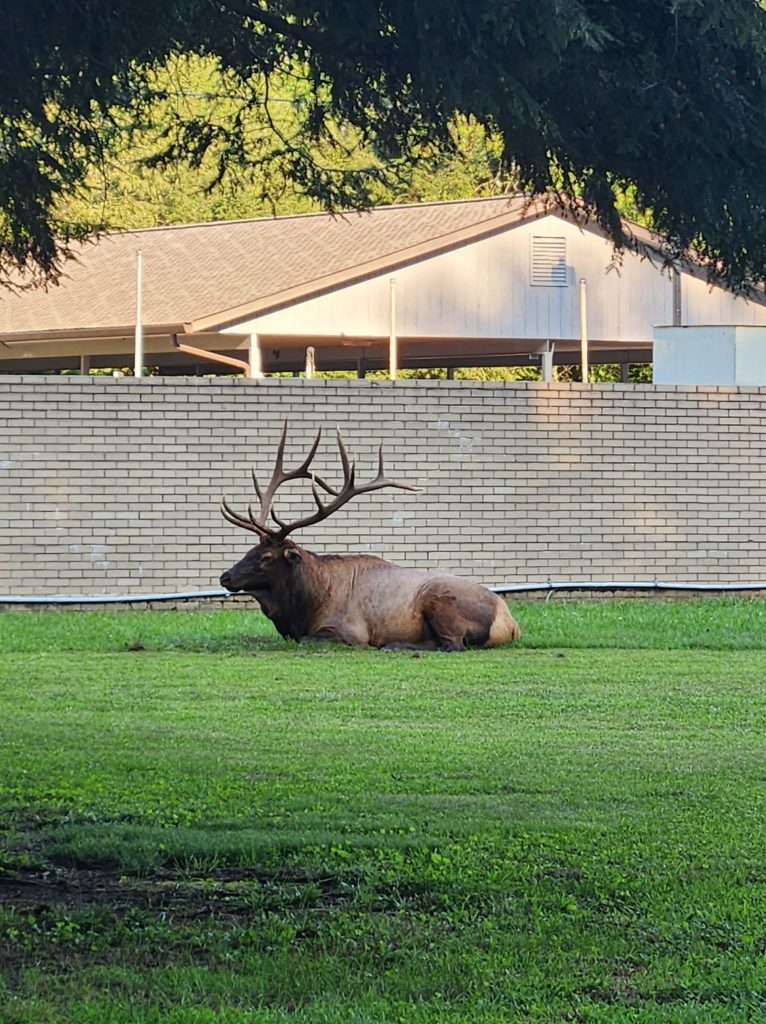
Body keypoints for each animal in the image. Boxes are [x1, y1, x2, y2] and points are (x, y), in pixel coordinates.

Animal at [218, 425, 524, 651]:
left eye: (266, 557)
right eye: (249, 550)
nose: (225, 576)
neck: (305, 605)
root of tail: (512, 625)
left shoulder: (349, 631)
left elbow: (308, 639)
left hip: (441, 602)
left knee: (453, 644)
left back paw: (394, 645)